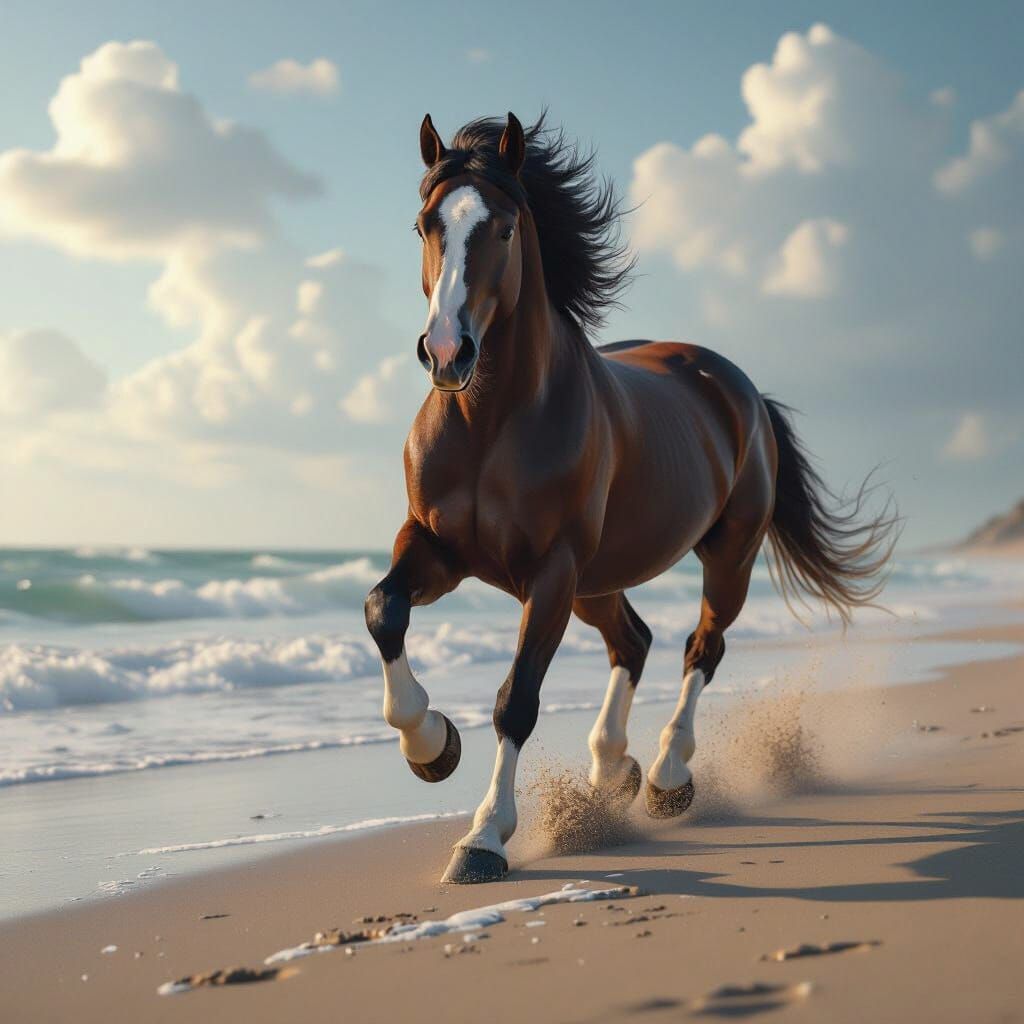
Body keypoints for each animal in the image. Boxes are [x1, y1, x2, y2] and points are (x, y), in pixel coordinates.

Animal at [364, 112, 896, 884]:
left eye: (504, 227)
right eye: (424, 224)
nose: (446, 351)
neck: (490, 421)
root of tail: (738, 386)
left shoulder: (550, 572)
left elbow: (516, 700)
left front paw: (484, 838)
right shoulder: (436, 547)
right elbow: (384, 611)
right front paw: (431, 746)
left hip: (723, 557)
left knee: (701, 646)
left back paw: (668, 778)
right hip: (598, 580)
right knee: (635, 641)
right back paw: (611, 769)